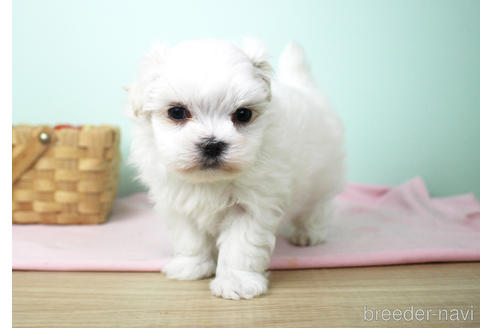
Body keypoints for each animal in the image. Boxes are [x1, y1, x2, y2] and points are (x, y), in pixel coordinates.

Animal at [125, 39, 344, 300]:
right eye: (176, 112)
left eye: (243, 114)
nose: (211, 144)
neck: (209, 181)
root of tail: (305, 88)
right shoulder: (178, 203)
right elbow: (189, 238)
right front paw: (192, 266)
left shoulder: (251, 206)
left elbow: (240, 245)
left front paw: (236, 282)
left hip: (323, 176)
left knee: (317, 206)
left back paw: (308, 233)